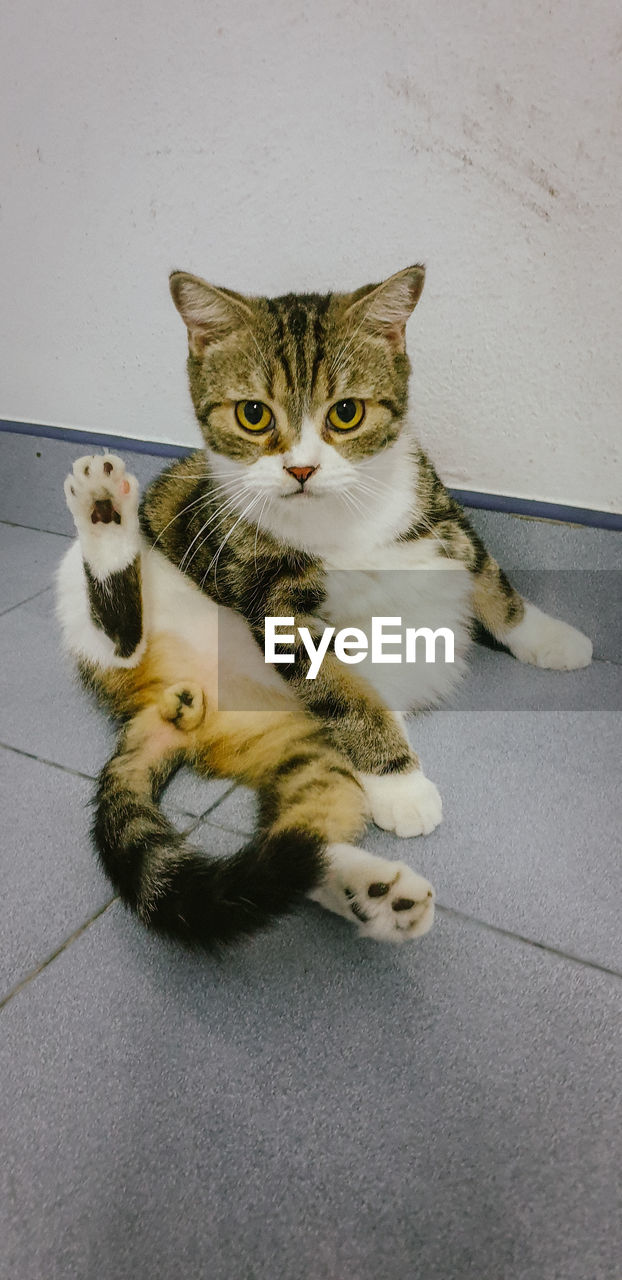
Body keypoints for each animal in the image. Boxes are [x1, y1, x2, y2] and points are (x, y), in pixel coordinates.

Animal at [55, 264, 591, 952]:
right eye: (253, 414)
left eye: (347, 412)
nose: (303, 468)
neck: (342, 518)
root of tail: (175, 701)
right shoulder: (275, 603)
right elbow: (347, 692)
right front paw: (403, 785)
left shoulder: (442, 517)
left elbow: (491, 580)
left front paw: (548, 639)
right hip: (97, 591)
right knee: (121, 638)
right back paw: (103, 517)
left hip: (306, 747)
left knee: (301, 839)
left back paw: (373, 895)